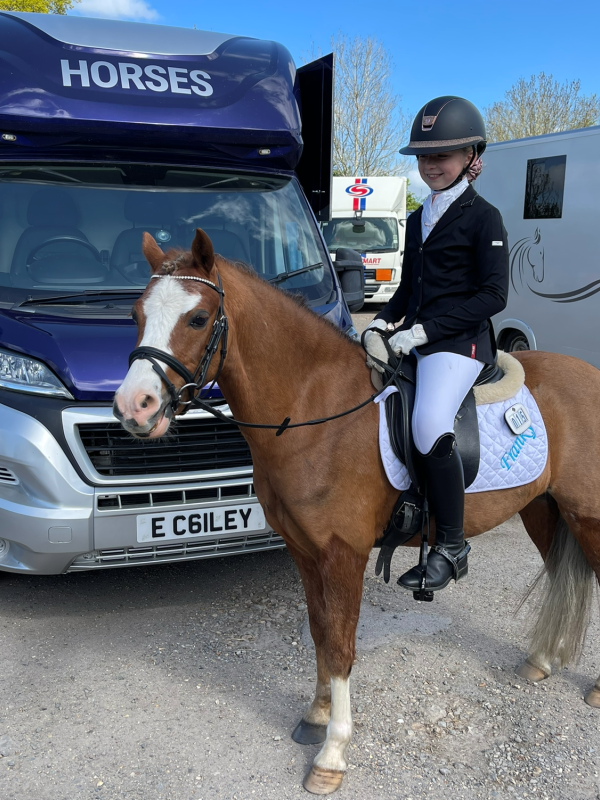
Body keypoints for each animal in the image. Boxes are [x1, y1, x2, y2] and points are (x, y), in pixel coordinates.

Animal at [113, 230, 600, 792]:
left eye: (196, 318)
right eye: (137, 313)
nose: (133, 407)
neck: (313, 412)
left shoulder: (344, 554)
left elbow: (343, 645)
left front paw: (332, 754)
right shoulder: (305, 553)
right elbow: (321, 633)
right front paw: (316, 715)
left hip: (588, 516)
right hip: (545, 510)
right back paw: (540, 661)